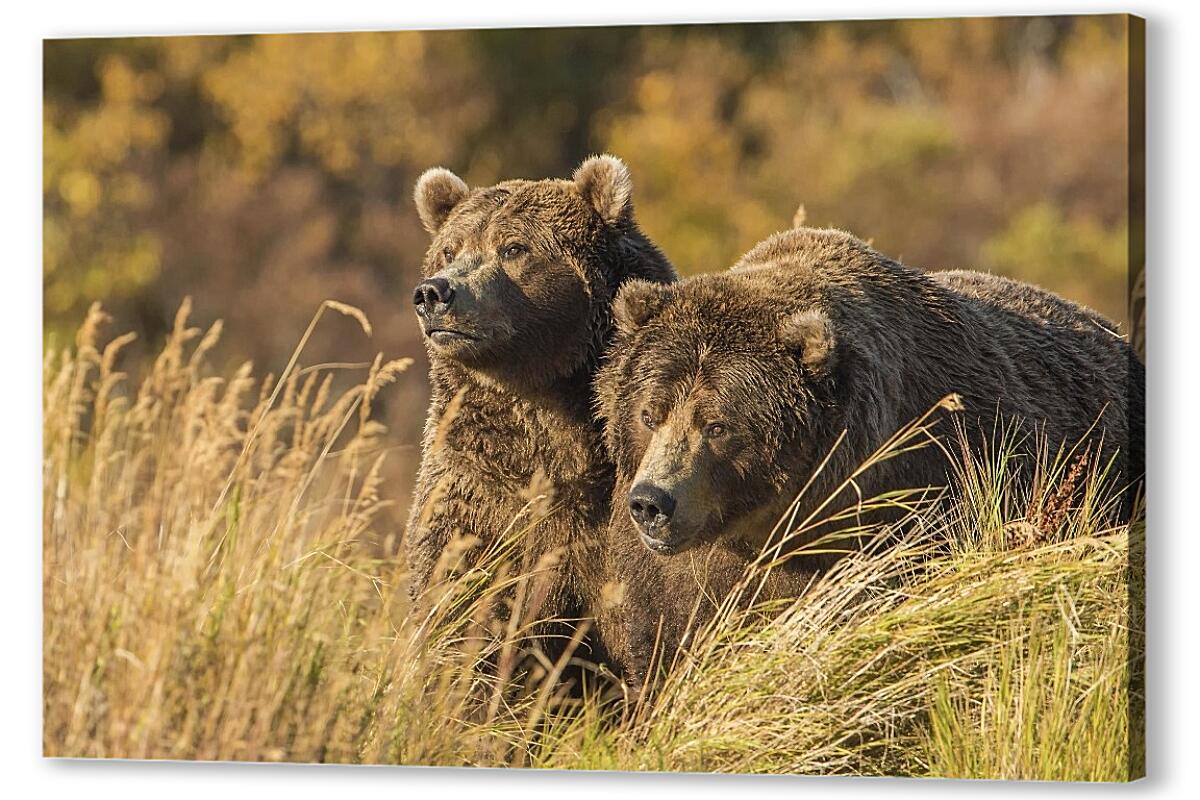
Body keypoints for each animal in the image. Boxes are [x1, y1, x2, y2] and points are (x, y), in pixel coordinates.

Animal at [600, 226, 1142, 690]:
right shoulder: (667, 575)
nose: (652, 502)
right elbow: (663, 641)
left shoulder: (911, 510)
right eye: (649, 414)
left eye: (717, 425)